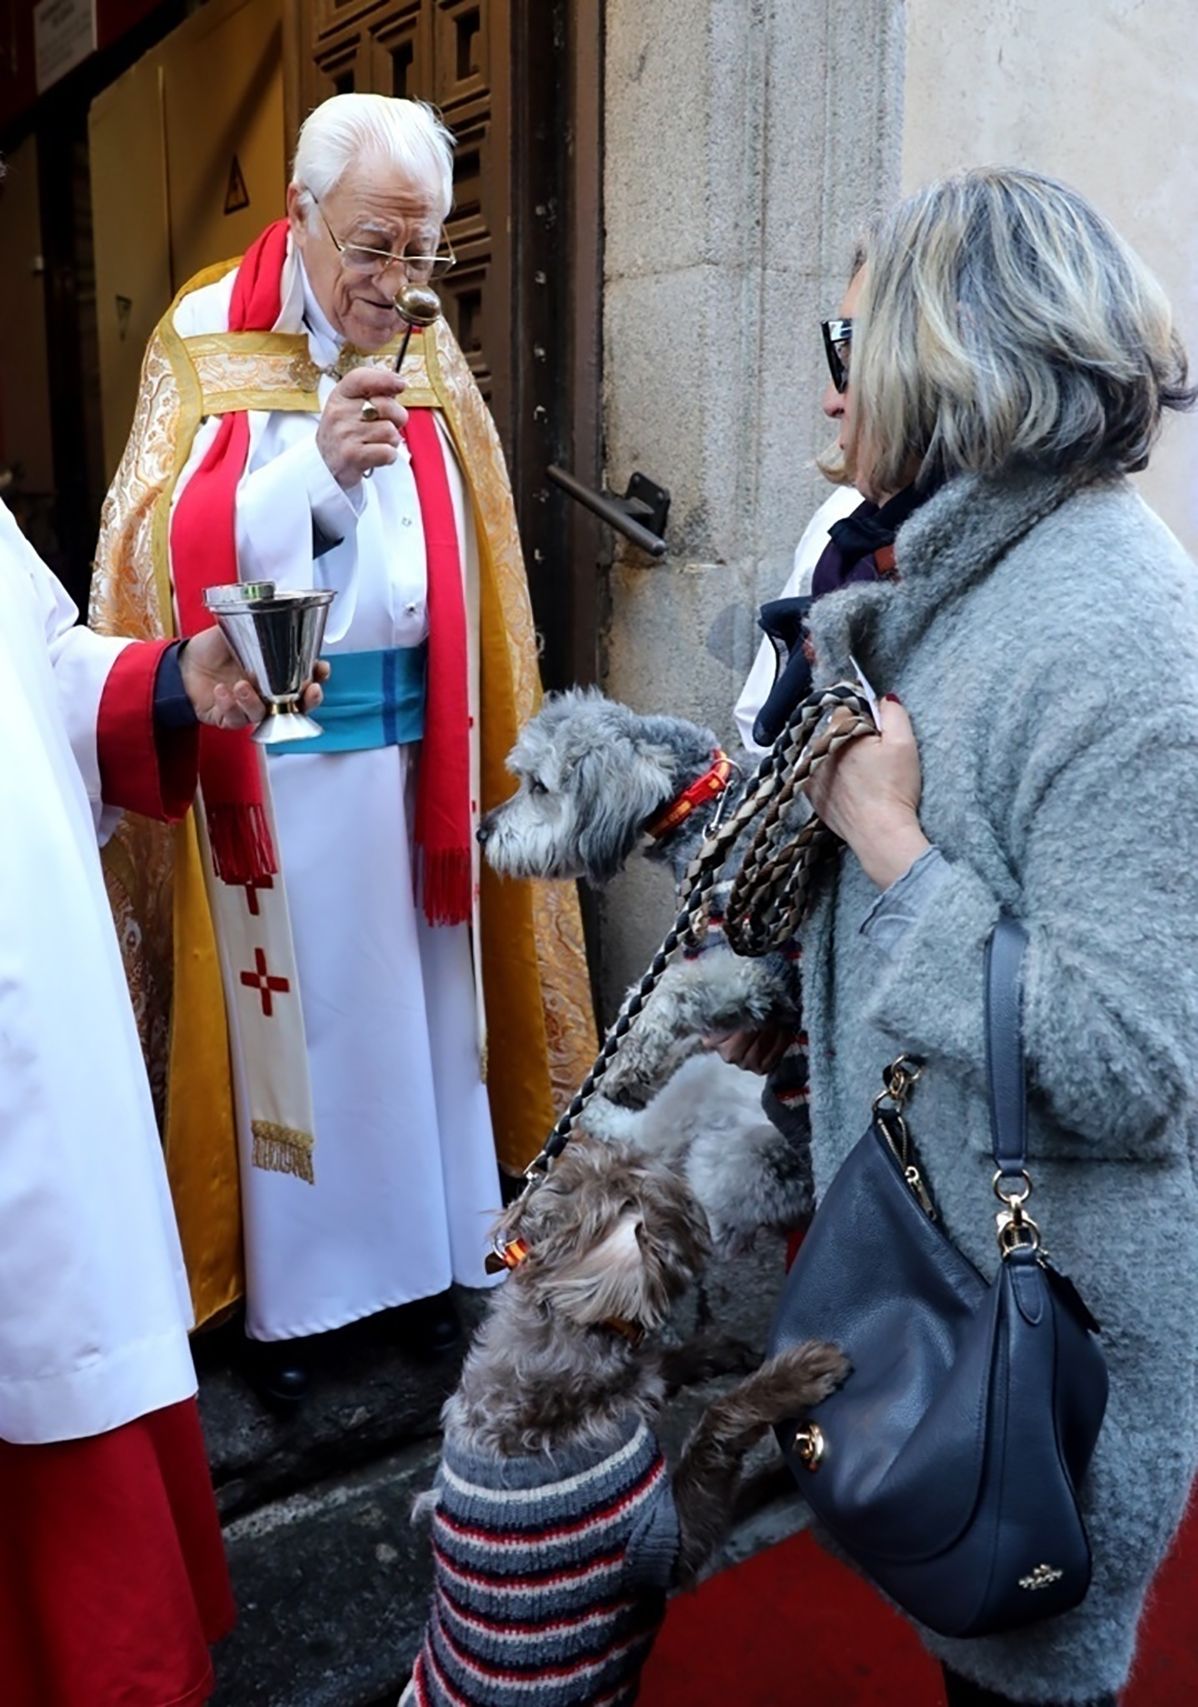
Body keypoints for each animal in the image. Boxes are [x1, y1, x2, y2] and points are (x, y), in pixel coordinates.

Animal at [402, 1133, 846, 1707]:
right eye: (678, 1196)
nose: (582, 1133)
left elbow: (659, 1368)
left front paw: (717, 1351)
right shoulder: (664, 1544)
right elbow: (713, 1426)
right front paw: (791, 1378)